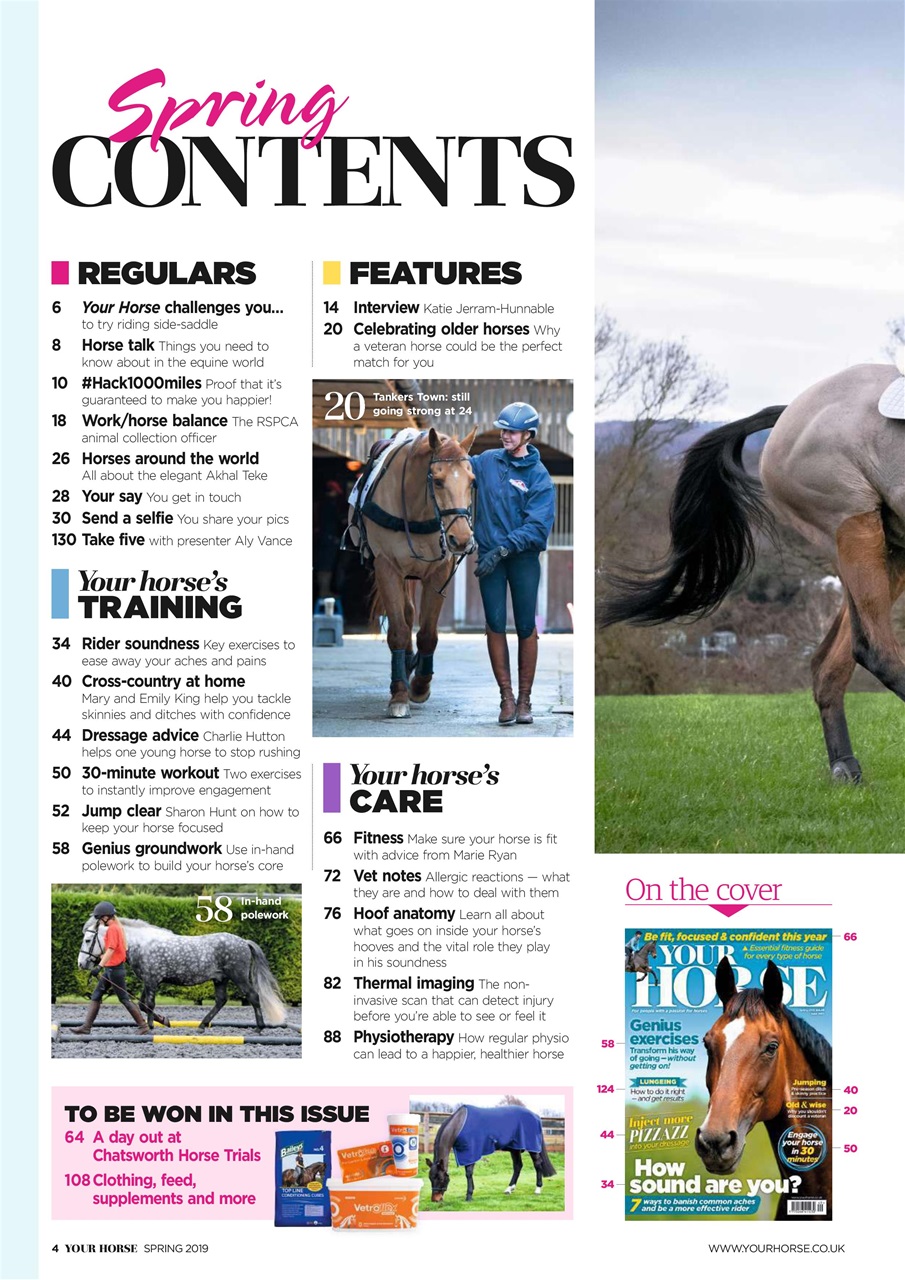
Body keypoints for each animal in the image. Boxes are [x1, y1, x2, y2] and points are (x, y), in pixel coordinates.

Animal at [78, 916, 286, 1031]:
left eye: (88, 940)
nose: (81, 963)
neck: (143, 944)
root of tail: (244, 942)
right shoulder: (149, 981)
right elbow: (142, 1005)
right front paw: (163, 1021)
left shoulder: (152, 981)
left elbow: (149, 1004)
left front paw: (151, 1027)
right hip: (220, 979)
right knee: (221, 1000)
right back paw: (202, 1026)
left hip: (239, 977)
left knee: (253, 996)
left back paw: (259, 1028)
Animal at [351, 426, 477, 718]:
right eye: (438, 481)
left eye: (472, 481)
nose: (461, 539)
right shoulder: (387, 567)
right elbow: (398, 629)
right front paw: (399, 695)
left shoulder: (439, 572)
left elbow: (428, 634)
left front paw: (420, 685)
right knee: (405, 616)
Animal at [426, 1104, 556, 1205]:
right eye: (430, 1178)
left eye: (440, 1178)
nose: (435, 1199)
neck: (459, 1125)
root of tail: (536, 1116)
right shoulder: (467, 1153)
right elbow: (469, 1173)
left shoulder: (471, 1152)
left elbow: (468, 1173)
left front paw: (469, 1196)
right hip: (515, 1148)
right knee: (518, 1166)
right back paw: (509, 1189)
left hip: (532, 1147)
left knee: (537, 1164)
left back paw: (538, 1189)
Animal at [599, 363, 905, 782]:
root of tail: (792, 410)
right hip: (852, 520)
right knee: (871, 647)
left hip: (890, 545)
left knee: (831, 661)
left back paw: (844, 764)